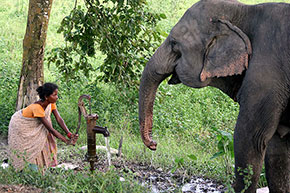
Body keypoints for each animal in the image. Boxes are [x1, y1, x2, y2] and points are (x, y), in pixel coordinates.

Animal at [139, 0, 290, 191]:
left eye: (173, 44)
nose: (154, 144)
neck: (244, 10)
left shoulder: (266, 78)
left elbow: (250, 138)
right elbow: (278, 148)